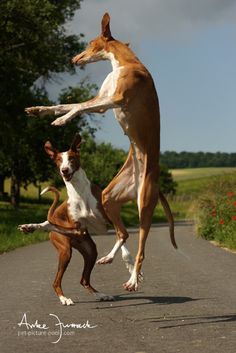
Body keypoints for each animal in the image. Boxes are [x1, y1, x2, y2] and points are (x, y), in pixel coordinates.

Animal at [18, 133, 134, 304]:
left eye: (72, 158)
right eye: (58, 160)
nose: (64, 170)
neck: (79, 192)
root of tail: (54, 213)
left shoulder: (110, 220)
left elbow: (123, 239)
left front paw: (127, 267)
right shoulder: (78, 228)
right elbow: (121, 238)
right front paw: (31, 226)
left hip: (90, 250)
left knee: (84, 280)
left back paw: (101, 295)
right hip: (65, 250)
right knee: (56, 281)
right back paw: (64, 298)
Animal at [25, 12, 177, 290]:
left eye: (89, 43)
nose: (73, 59)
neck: (124, 64)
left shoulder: (114, 100)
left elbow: (76, 109)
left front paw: (61, 121)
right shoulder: (100, 100)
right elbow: (68, 104)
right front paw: (39, 110)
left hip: (144, 204)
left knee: (140, 246)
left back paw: (133, 279)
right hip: (109, 197)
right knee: (122, 232)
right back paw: (109, 258)